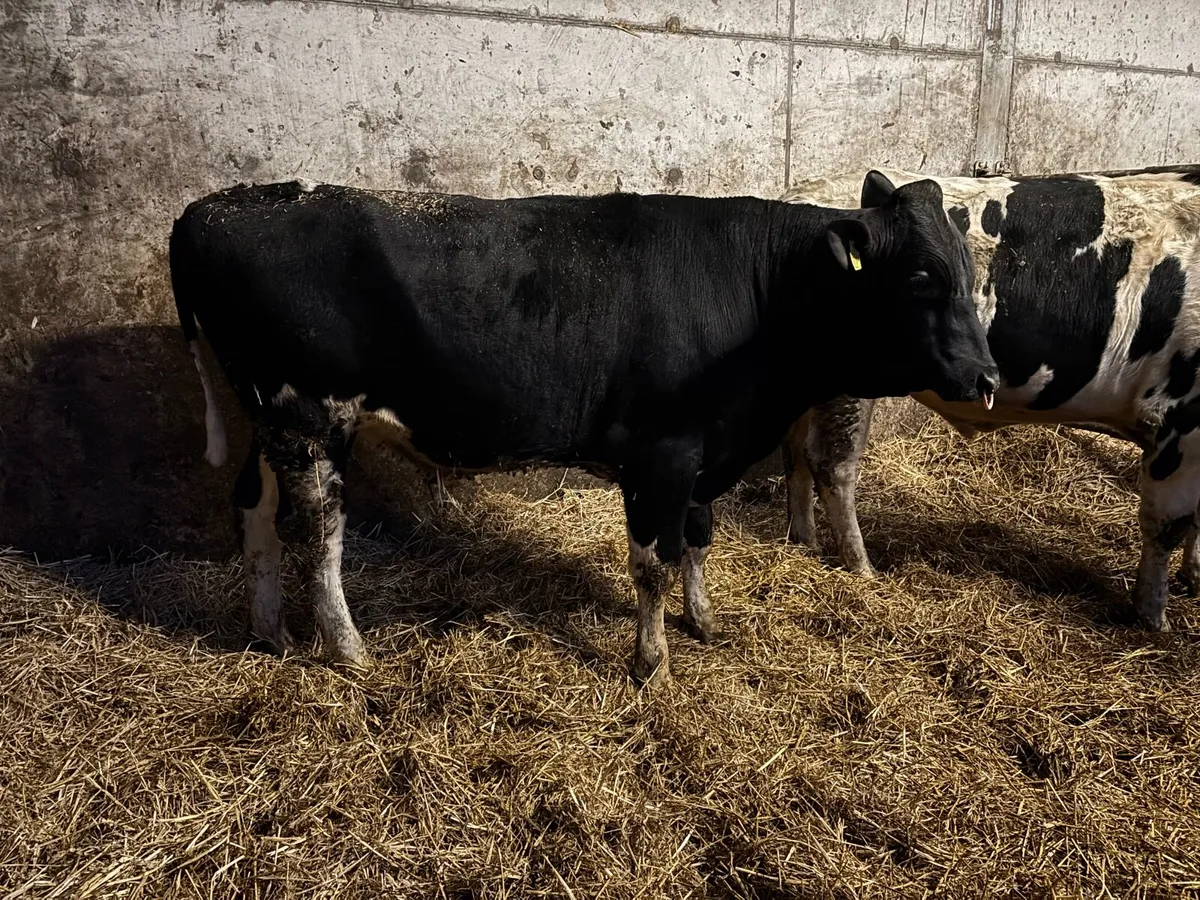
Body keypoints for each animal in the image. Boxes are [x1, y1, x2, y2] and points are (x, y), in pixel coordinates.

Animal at [171, 173, 997, 686]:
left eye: (968, 270)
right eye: (921, 276)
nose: (986, 378)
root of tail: (208, 210)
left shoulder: (708, 450)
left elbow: (699, 540)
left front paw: (703, 623)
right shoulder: (661, 453)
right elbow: (653, 561)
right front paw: (650, 663)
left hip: (271, 421)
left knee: (254, 510)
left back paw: (270, 632)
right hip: (310, 413)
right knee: (316, 530)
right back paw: (348, 651)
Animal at [780, 167, 1200, 632]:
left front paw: (1192, 578)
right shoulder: (1179, 422)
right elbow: (1169, 524)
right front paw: (1153, 619)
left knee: (795, 453)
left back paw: (805, 542)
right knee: (831, 463)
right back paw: (861, 566)